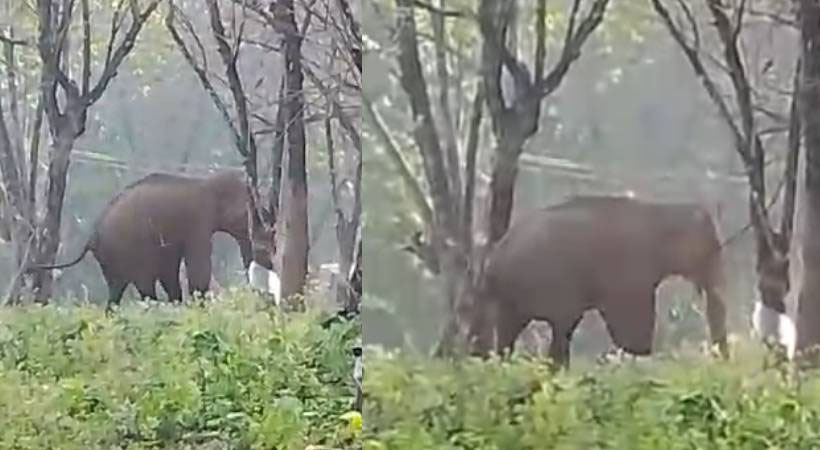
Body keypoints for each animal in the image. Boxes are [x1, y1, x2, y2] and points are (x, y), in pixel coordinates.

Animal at [28, 170, 276, 310]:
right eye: (247, 214)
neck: (206, 183)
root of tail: (92, 236)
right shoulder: (198, 220)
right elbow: (196, 265)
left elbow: (170, 269)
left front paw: (181, 304)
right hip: (126, 250)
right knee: (144, 285)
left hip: (110, 260)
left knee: (116, 290)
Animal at [464, 196, 728, 370]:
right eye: (712, 250)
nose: (722, 361)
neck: (662, 210)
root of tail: (492, 258)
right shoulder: (629, 267)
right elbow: (632, 320)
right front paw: (641, 352)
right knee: (561, 325)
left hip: (512, 294)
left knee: (516, 329)